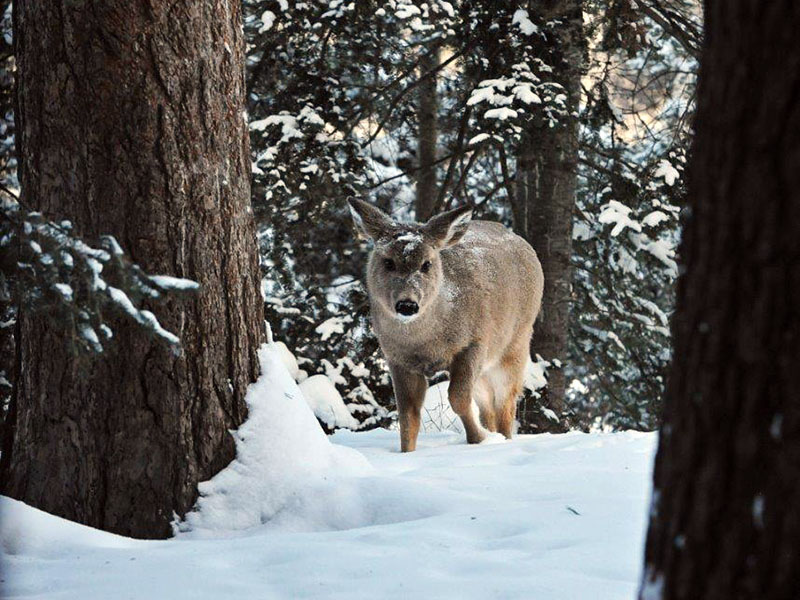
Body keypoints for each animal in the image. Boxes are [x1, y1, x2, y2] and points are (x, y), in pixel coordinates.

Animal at [348, 199, 544, 452]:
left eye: (426, 264)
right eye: (388, 262)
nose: (407, 304)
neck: (425, 344)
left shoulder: (474, 343)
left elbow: (458, 398)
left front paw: (478, 439)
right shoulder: (398, 359)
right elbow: (408, 416)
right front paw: (406, 453)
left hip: (515, 344)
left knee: (505, 404)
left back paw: (501, 438)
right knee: (488, 406)